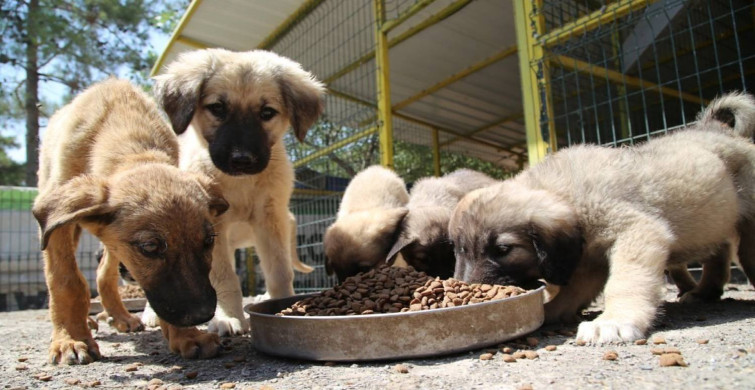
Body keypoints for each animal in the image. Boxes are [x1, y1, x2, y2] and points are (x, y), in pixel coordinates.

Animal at [31, 77, 230, 364]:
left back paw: (121, 317)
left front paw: (187, 336)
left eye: (208, 240)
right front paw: (71, 339)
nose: (202, 314)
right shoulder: (58, 222)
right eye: (150, 247)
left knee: (104, 273)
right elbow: (66, 281)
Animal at [155, 48, 326, 336]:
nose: (242, 160)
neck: (241, 184)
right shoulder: (214, 228)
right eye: (217, 108)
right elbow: (224, 276)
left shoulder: (270, 219)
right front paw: (229, 317)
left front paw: (283, 305)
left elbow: (280, 271)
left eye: (267, 112)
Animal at [448, 93, 755, 342]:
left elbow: (624, 280)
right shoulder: (587, 262)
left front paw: (615, 320)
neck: (566, 192)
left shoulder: (636, 231)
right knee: (719, 251)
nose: (470, 287)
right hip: (714, 220)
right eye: (460, 250)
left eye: (503, 249)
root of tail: (716, 128)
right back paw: (705, 292)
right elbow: (571, 293)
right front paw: (550, 311)